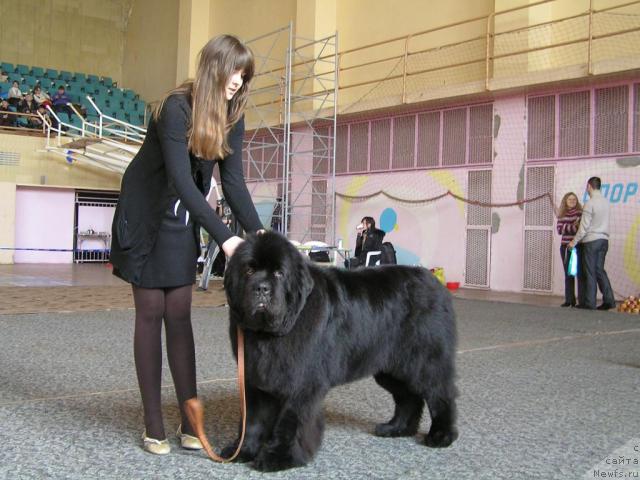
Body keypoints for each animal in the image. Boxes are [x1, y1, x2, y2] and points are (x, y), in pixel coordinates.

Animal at [222, 231, 458, 470]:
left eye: (279, 273)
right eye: (249, 271)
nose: (262, 288)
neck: (271, 332)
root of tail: (434, 283)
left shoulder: (301, 384)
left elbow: (290, 422)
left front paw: (278, 457)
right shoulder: (255, 378)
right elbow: (252, 420)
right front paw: (242, 450)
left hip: (426, 360)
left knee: (440, 394)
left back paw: (441, 435)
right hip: (391, 367)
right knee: (408, 397)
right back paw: (396, 428)